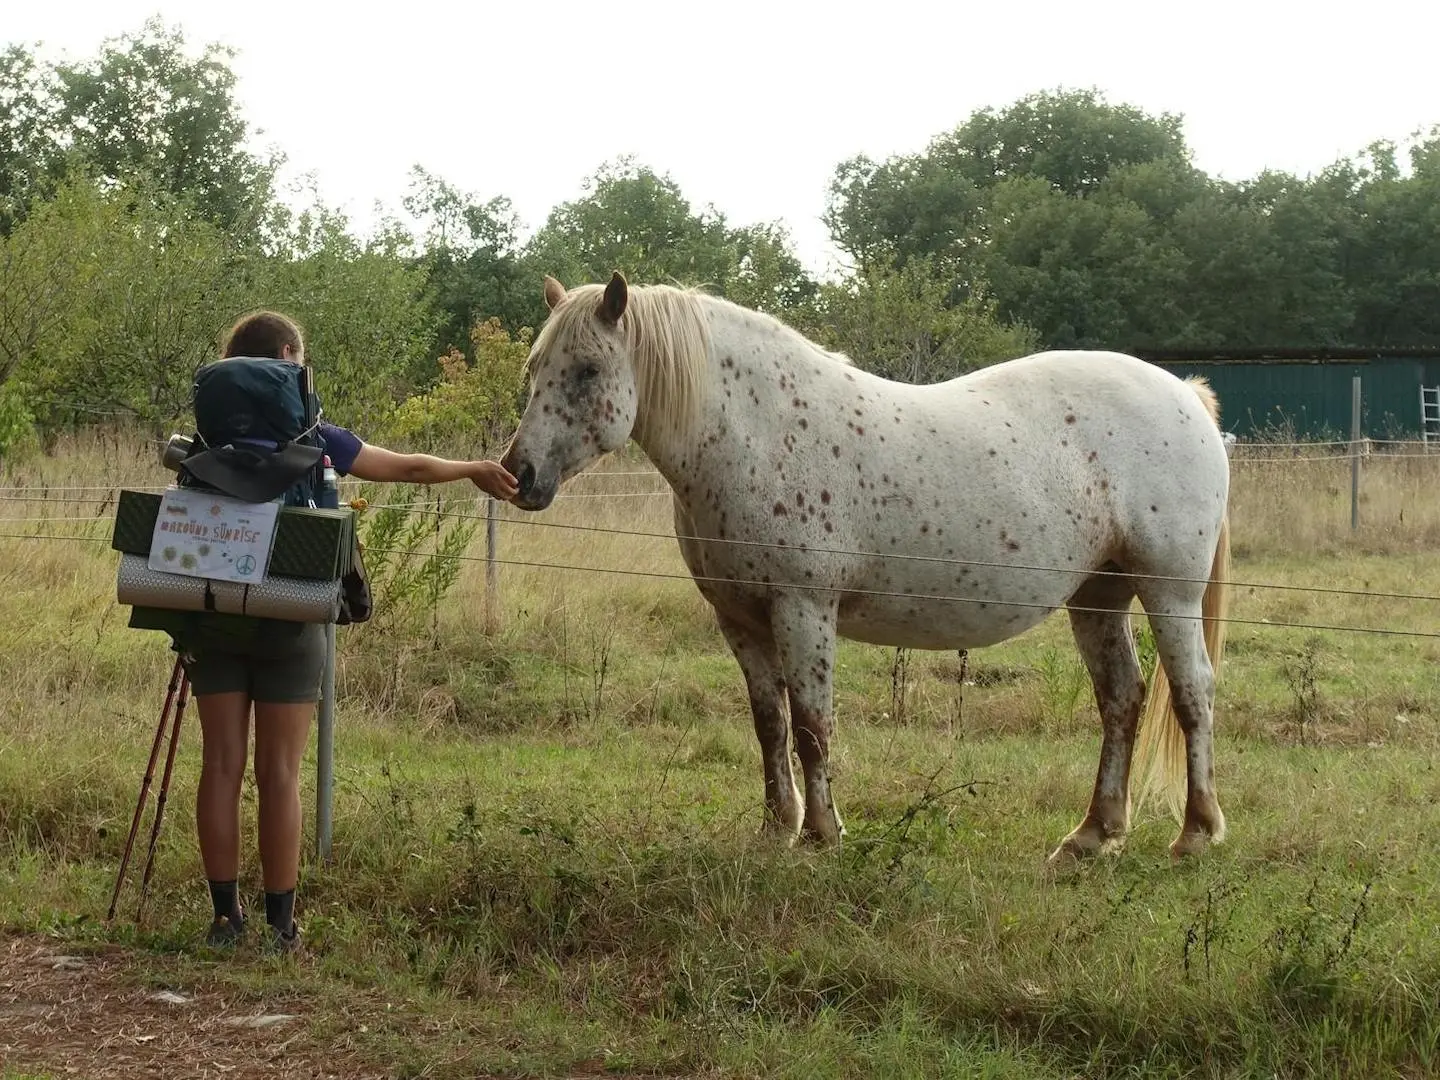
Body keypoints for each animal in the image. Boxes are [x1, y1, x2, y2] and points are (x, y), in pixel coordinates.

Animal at [501, 275, 1232, 869]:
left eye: (587, 371)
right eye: (536, 366)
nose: (518, 475)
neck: (753, 436)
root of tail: (1185, 395)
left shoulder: (803, 609)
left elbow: (812, 724)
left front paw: (821, 834)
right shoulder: (739, 619)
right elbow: (770, 724)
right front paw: (775, 829)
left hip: (1169, 592)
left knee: (1191, 694)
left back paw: (1195, 833)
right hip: (1098, 598)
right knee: (1122, 699)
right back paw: (1091, 835)